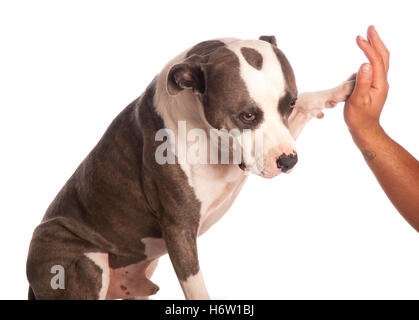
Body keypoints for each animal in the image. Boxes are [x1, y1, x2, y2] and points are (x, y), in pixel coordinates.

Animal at [25, 35, 354, 300]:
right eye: (246, 115)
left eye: (289, 104)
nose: (288, 161)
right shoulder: (179, 229)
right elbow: (196, 288)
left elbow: (307, 105)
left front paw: (342, 89)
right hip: (79, 260)